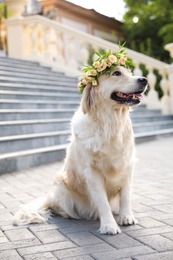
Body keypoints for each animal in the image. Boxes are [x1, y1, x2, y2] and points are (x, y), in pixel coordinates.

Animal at [13, 64, 147, 235]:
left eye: (129, 72)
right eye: (116, 73)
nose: (144, 79)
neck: (109, 124)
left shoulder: (127, 165)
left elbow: (125, 196)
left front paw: (126, 217)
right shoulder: (92, 171)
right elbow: (102, 201)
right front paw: (109, 225)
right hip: (61, 189)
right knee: (56, 208)